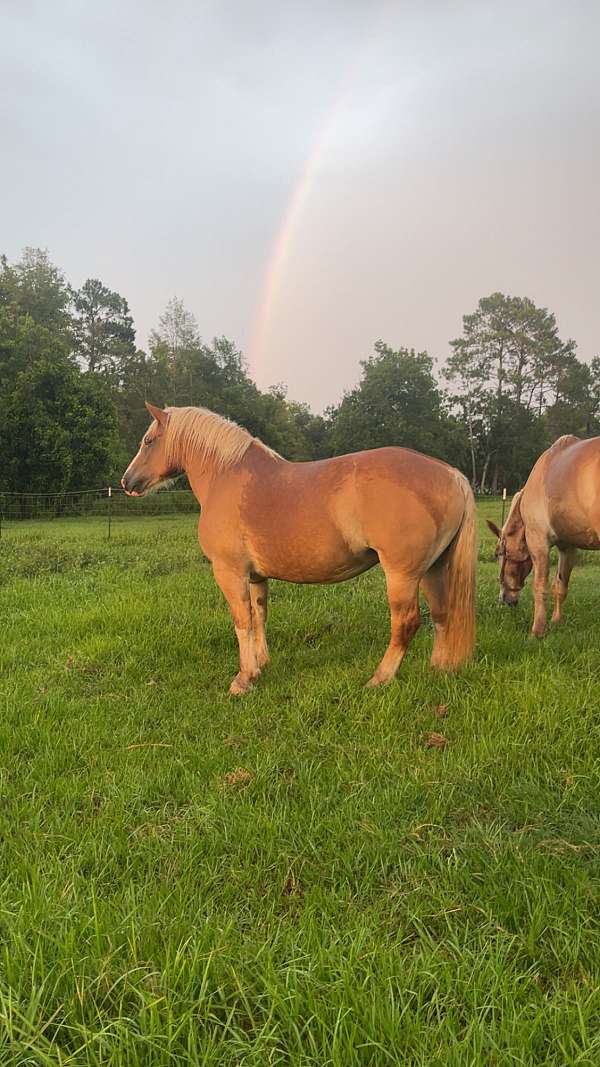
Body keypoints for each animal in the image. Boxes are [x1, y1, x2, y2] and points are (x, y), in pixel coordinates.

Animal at [122, 402, 477, 694]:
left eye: (148, 441)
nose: (127, 481)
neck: (226, 476)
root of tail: (451, 474)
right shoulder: (256, 576)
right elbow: (259, 616)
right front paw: (261, 665)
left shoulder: (229, 572)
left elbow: (242, 620)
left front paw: (243, 679)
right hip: (433, 569)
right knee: (442, 614)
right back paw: (438, 670)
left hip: (402, 575)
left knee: (406, 623)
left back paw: (379, 678)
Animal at [487, 434, 600, 637]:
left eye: (499, 554)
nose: (505, 599)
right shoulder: (567, 547)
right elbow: (560, 586)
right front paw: (556, 621)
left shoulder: (538, 542)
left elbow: (540, 587)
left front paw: (537, 632)